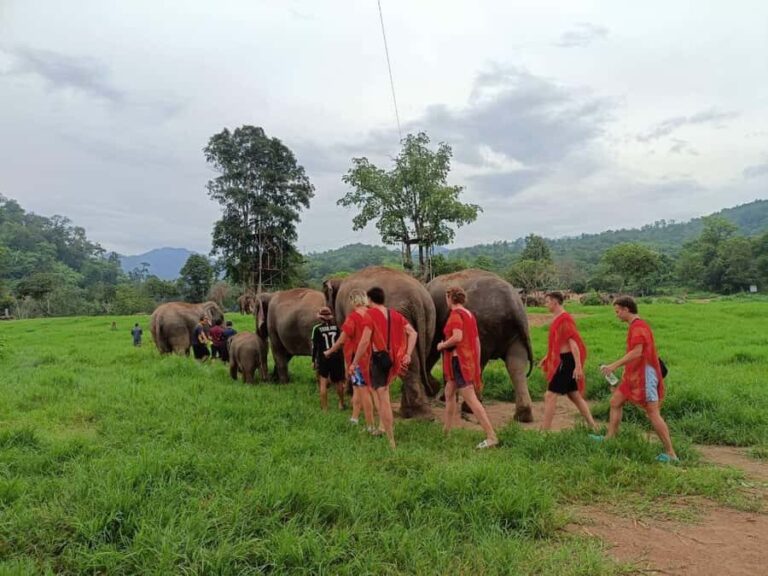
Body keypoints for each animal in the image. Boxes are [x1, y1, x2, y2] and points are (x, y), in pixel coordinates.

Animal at [426, 269, 534, 422]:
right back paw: (524, 415)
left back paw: (469, 408)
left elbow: (435, 348)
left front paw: (440, 395)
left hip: (482, 327)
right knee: (516, 364)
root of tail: (513, 306)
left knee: (479, 361)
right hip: (516, 333)